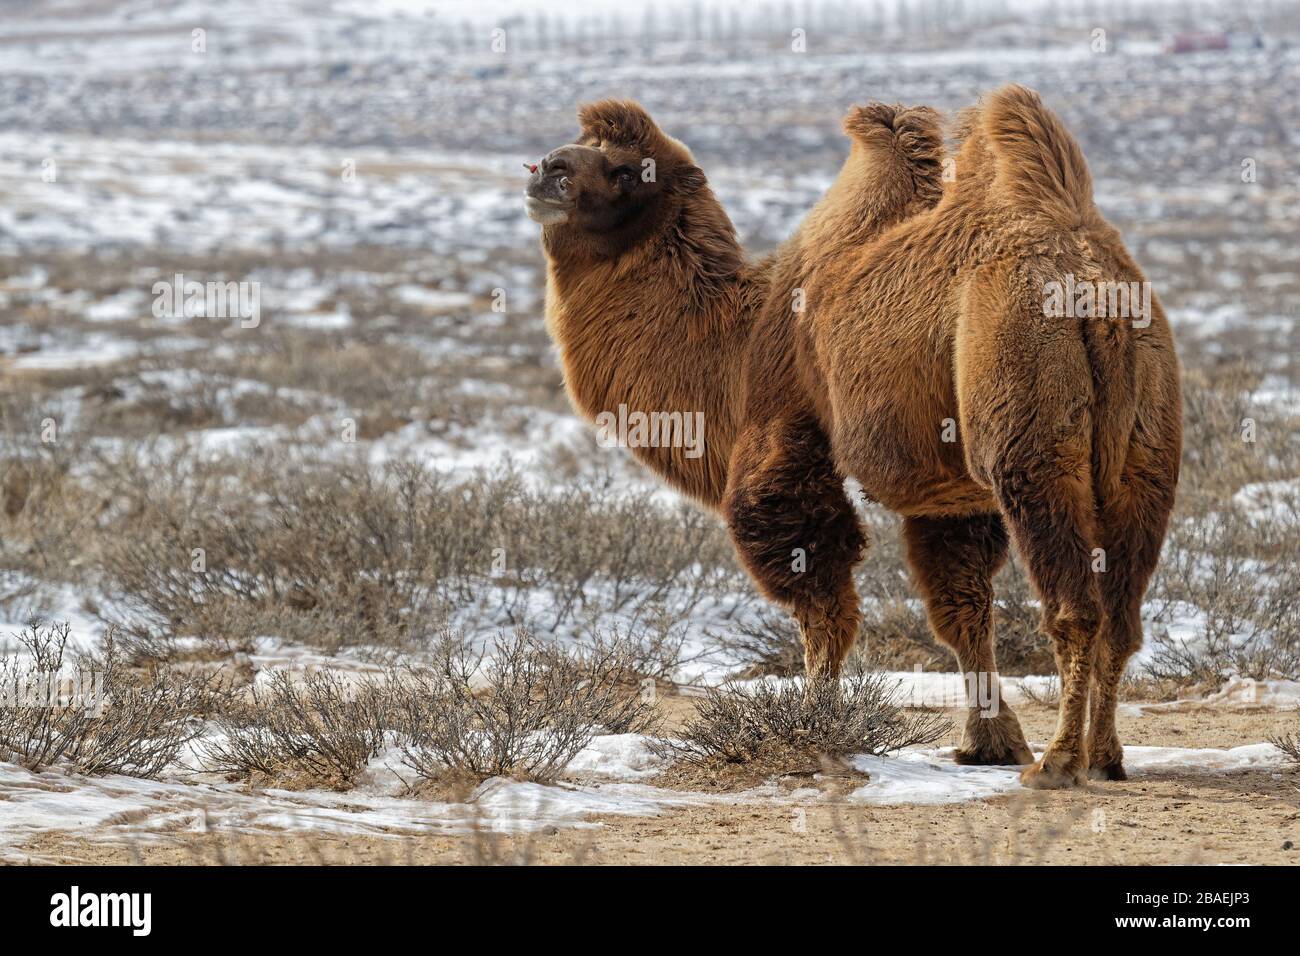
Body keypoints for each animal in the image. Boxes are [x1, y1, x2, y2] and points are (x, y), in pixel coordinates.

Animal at [525, 86, 1181, 789]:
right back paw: (1107, 758)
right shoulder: (948, 496)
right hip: (1146, 453)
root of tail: (1094, 286)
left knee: (1075, 605)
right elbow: (961, 607)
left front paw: (813, 726)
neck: (738, 343)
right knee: (1122, 612)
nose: (546, 169)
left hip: (1029, 433)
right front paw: (988, 742)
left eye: (626, 171)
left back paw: (1058, 762)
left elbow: (822, 600)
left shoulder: (787, 439)